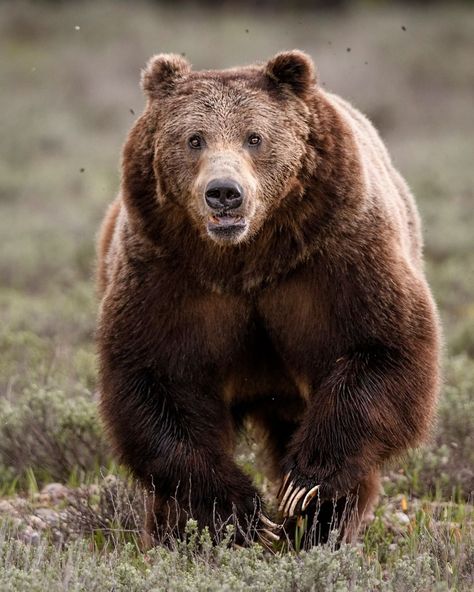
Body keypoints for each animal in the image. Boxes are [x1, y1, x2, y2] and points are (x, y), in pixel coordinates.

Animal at [96, 51, 440, 552]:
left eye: (254, 136)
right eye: (194, 138)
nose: (224, 193)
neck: (249, 259)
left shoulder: (337, 255)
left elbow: (383, 348)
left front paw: (304, 485)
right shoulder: (169, 274)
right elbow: (156, 380)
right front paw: (241, 513)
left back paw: (321, 531)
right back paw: (171, 535)